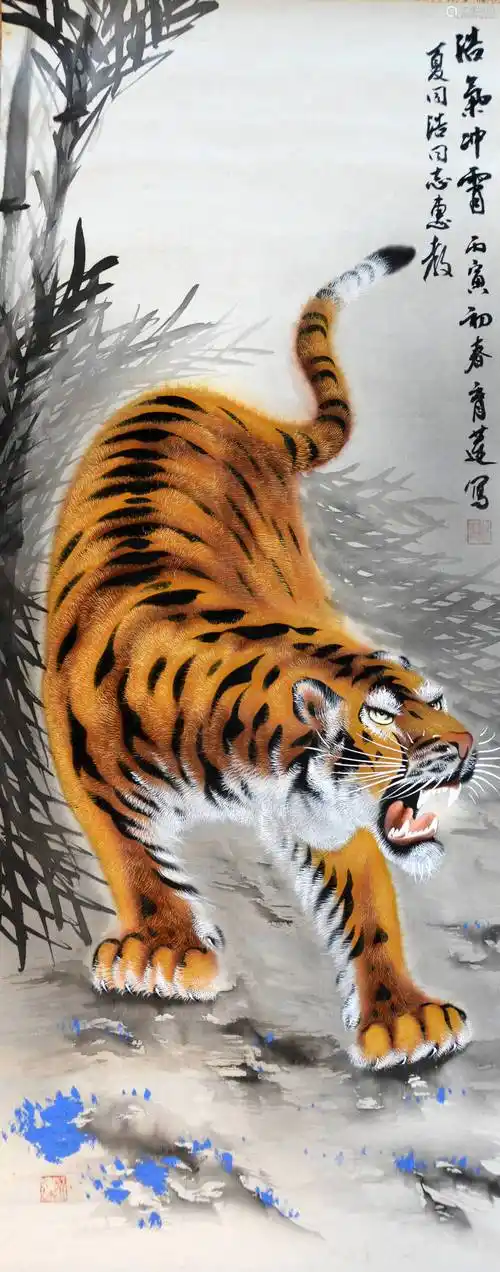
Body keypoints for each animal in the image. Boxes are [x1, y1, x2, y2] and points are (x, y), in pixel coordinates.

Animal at [44, 243, 477, 1071]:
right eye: (384, 720)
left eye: (436, 701)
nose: (469, 747)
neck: (248, 761)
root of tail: (226, 403)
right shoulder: (87, 768)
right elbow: (134, 858)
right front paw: (164, 951)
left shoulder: (329, 820)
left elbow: (367, 907)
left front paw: (406, 1019)